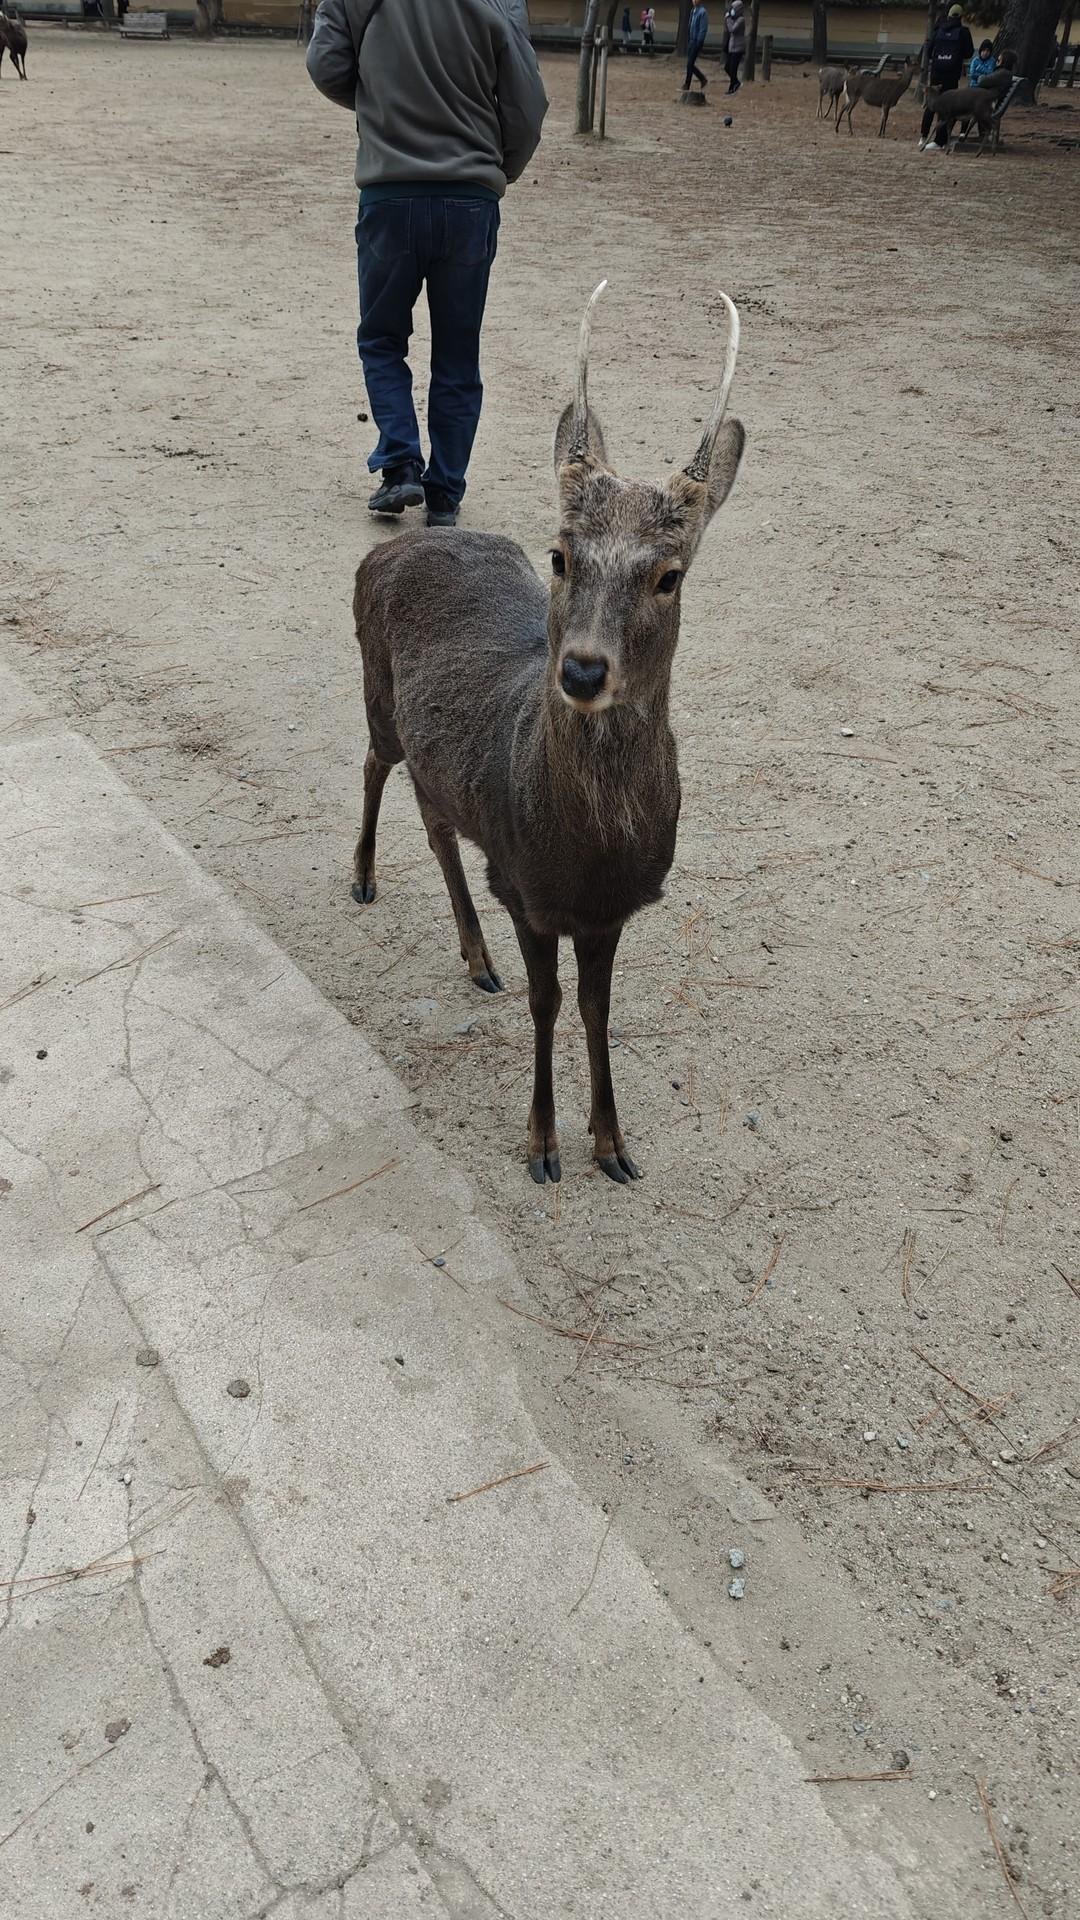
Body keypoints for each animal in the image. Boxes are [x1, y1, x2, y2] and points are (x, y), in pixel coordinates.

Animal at [350, 285, 744, 1187]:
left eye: (669, 575)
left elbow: (597, 1008)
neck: (587, 854)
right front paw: (541, 1145)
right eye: (561, 556)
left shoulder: (611, 910)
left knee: (435, 824)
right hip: (378, 695)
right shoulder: (527, 889)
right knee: (373, 767)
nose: (585, 670)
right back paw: (361, 878)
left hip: (437, 760)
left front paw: (613, 1144)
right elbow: (549, 1001)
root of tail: (392, 551)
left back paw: (474, 956)